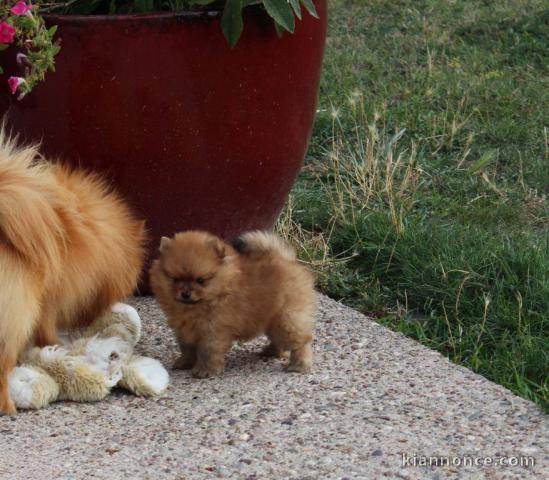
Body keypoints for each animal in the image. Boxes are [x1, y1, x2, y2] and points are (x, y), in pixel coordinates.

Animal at [150, 231, 314, 376]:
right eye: (175, 279)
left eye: (200, 280)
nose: (185, 294)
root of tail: (287, 260)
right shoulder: (184, 330)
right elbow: (187, 349)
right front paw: (185, 363)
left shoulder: (213, 331)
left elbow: (207, 352)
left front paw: (205, 371)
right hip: (272, 318)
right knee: (278, 338)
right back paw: (271, 352)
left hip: (286, 317)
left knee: (300, 341)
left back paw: (299, 364)